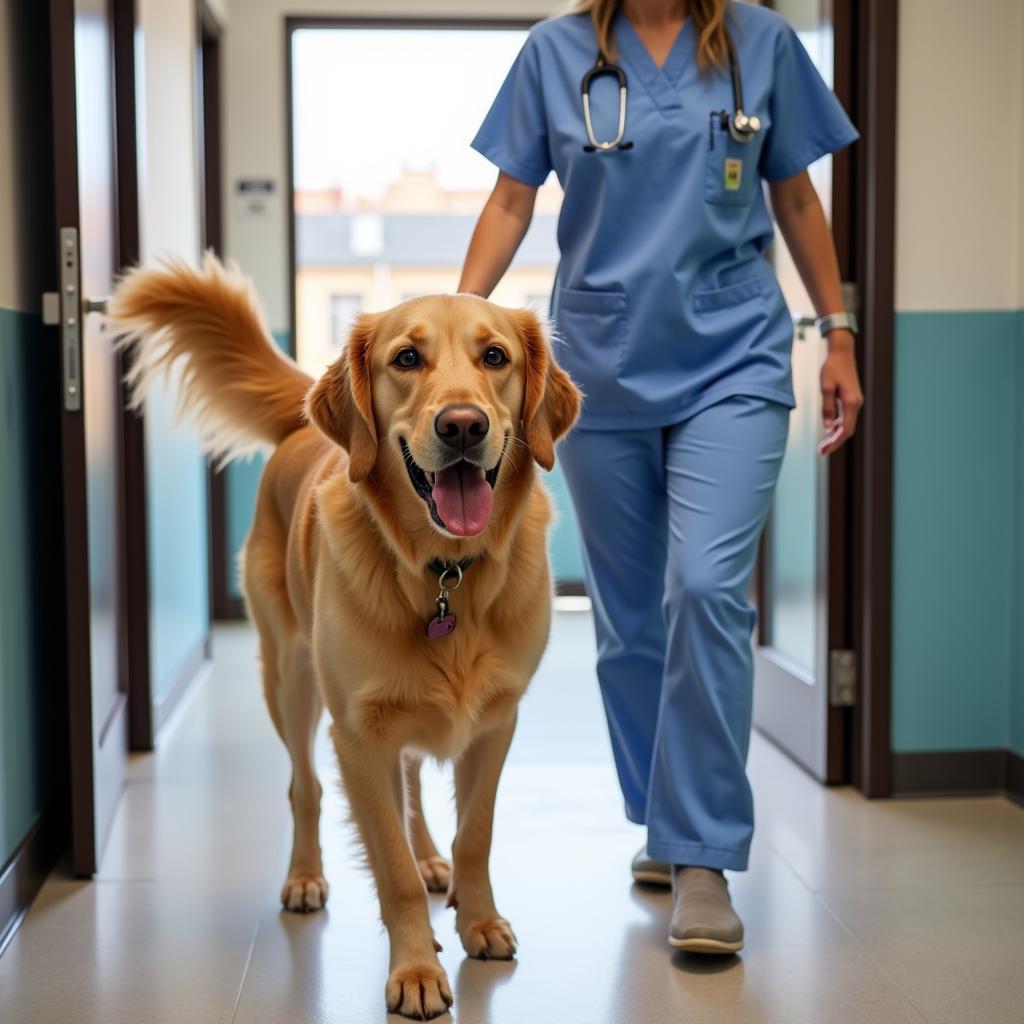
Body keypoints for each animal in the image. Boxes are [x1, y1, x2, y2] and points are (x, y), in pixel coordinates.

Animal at [110, 253, 585, 1015]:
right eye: (407, 358)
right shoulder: (357, 733)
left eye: (495, 357)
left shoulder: (495, 720)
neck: (443, 572)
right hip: (292, 680)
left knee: (412, 782)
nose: (461, 426)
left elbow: (475, 834)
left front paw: (477, 920)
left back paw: (431, 857)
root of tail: (304, 426)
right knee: (305, 788)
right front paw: (416, 969)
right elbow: (388, 865)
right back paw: (306, 877)